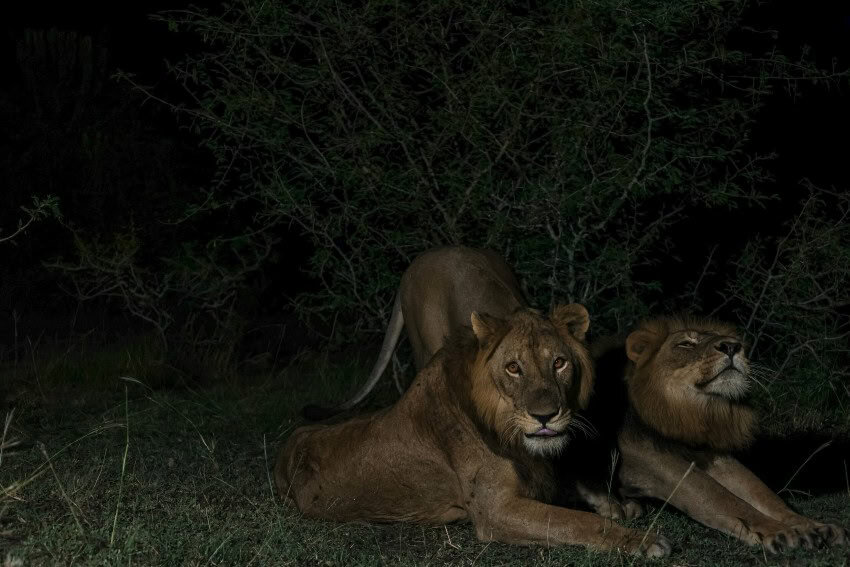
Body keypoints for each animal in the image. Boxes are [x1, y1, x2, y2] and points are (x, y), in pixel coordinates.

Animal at [277, 307, 671, 557]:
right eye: (513, 368)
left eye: (559, 363)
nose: (546, 416)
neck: (504, 427)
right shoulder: (495, 510)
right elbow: (574, 522)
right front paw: (641, 540)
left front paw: (618, 505)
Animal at [582, 316, 848, 553]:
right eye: (686, 344)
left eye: (731, 341)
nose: (732, 346)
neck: (690, 412)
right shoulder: (652, 459)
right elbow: (720, 497)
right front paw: (782, 532)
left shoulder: (711, 454)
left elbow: (763, 494)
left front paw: (815, 526)